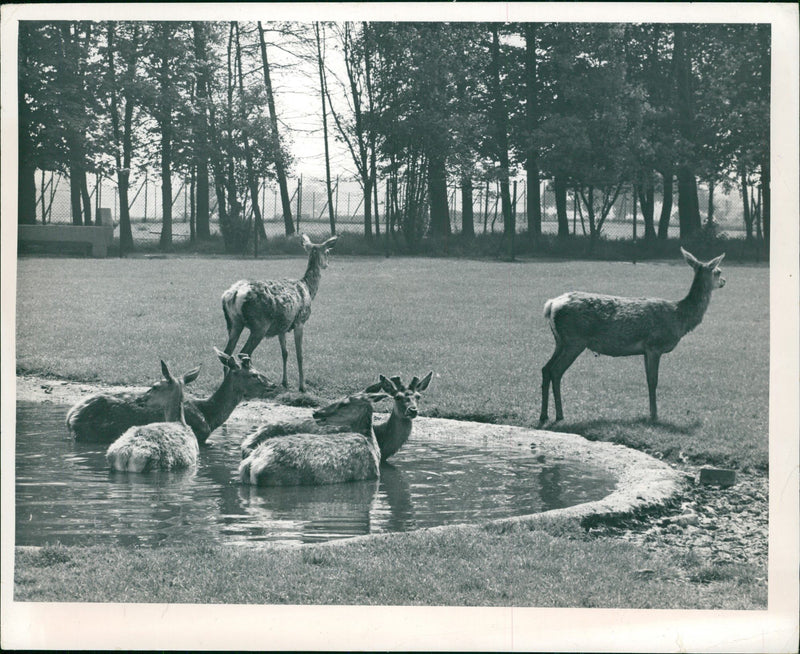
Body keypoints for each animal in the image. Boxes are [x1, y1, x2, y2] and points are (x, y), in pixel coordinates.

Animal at [65, 348, 280, 446]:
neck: (209, 416)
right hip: (88, 434)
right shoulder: (199, 436)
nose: (273, 385)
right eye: (254, 375)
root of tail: (69, 417)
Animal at [220, 233, 340, 392]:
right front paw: (302, 386)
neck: (308, 289)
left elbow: (285, 353)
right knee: (243, 353)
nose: (327, 264)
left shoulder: (282, 326)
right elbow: (299, 354)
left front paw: (285, 382)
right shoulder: (300, 321)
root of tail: (234, 294)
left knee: (226, 354)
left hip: (233, 324)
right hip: (260, 325)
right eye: (327, 252)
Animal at [540, 247, 728, 426]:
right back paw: (559, 415)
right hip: (575, 340)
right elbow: (653, 380)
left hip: (560, 341)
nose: (724, 281)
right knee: (556, 371)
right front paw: (654, 416)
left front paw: (651, 413)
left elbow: (648, 379)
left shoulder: (645, 350)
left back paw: (544, 415)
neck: (679, 318)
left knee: (545, 368)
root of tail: (552, 304)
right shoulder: (654, 346)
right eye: (718, 271)